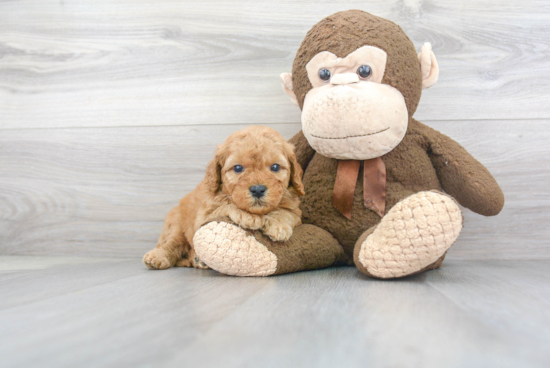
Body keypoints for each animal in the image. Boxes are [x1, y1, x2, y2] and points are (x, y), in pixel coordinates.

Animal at [142, 126, 306, 270]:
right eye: (238, 168)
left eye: (275, 167)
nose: (258, 189)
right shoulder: (204, 215)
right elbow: (226, 205)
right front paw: (248, 216)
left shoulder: (295, 212)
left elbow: (285, 212)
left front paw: (279, 226)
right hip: (176, 224)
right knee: (171, 244)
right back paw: (157, 257)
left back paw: (197, 259)